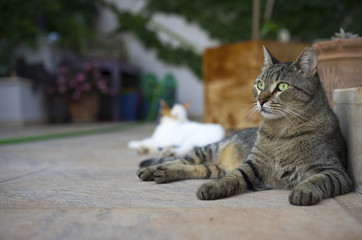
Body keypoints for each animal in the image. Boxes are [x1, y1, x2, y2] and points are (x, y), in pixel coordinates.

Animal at [136, 47, 354, 206]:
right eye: (260, 84)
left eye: (282, 86)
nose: (261, 100)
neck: (280, 130)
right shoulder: (253, 165)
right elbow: (234, 177)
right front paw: (213, 187)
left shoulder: (335, 171)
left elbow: (316, 180)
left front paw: (302, 191)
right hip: (209, 150)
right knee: (180, 159)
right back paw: (151, 170)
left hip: (214, 167)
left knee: (196, 168)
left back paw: (162, 173)